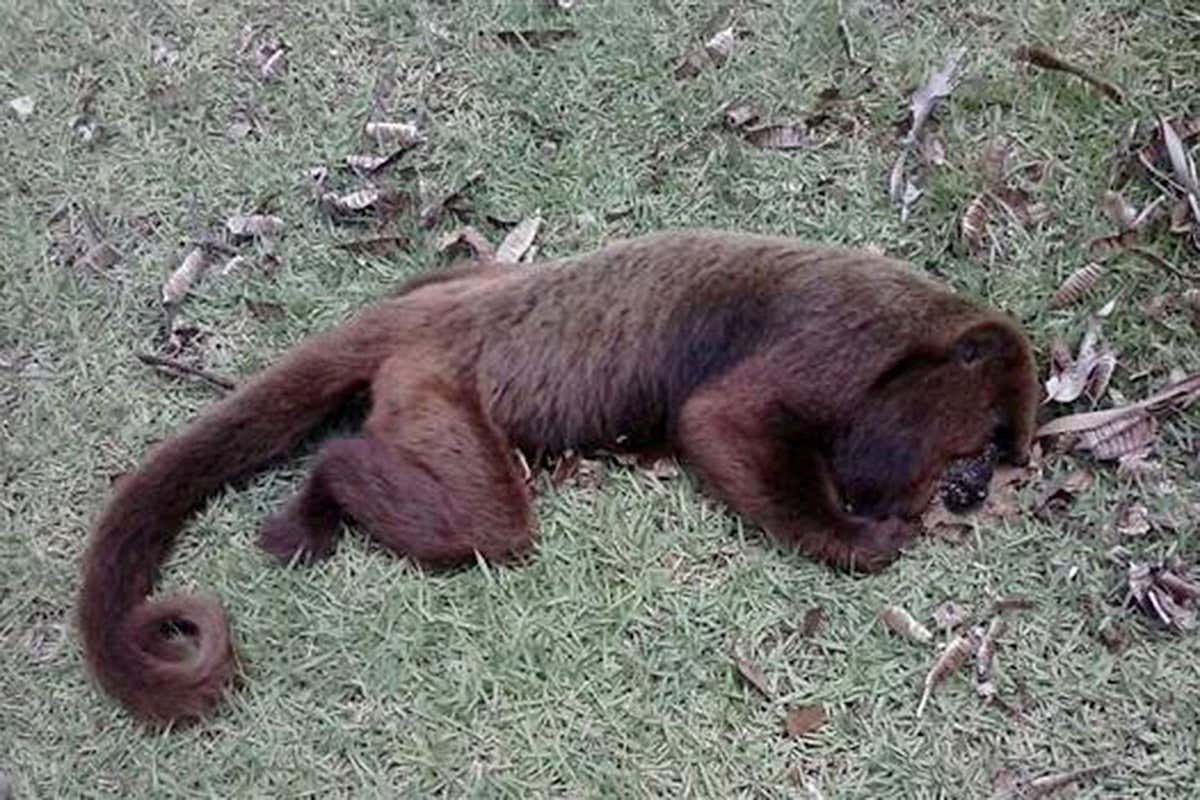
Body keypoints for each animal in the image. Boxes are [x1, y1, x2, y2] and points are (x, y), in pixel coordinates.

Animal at [78, 230, 1039, 724]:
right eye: (980, 446)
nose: (971, 492)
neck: (915, 339)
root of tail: (426, 317)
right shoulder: (845, 342)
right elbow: (719, 421)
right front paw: (859, 535)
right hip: (431, 388)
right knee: (487, 524)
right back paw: (332, 480)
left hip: (445, 302)